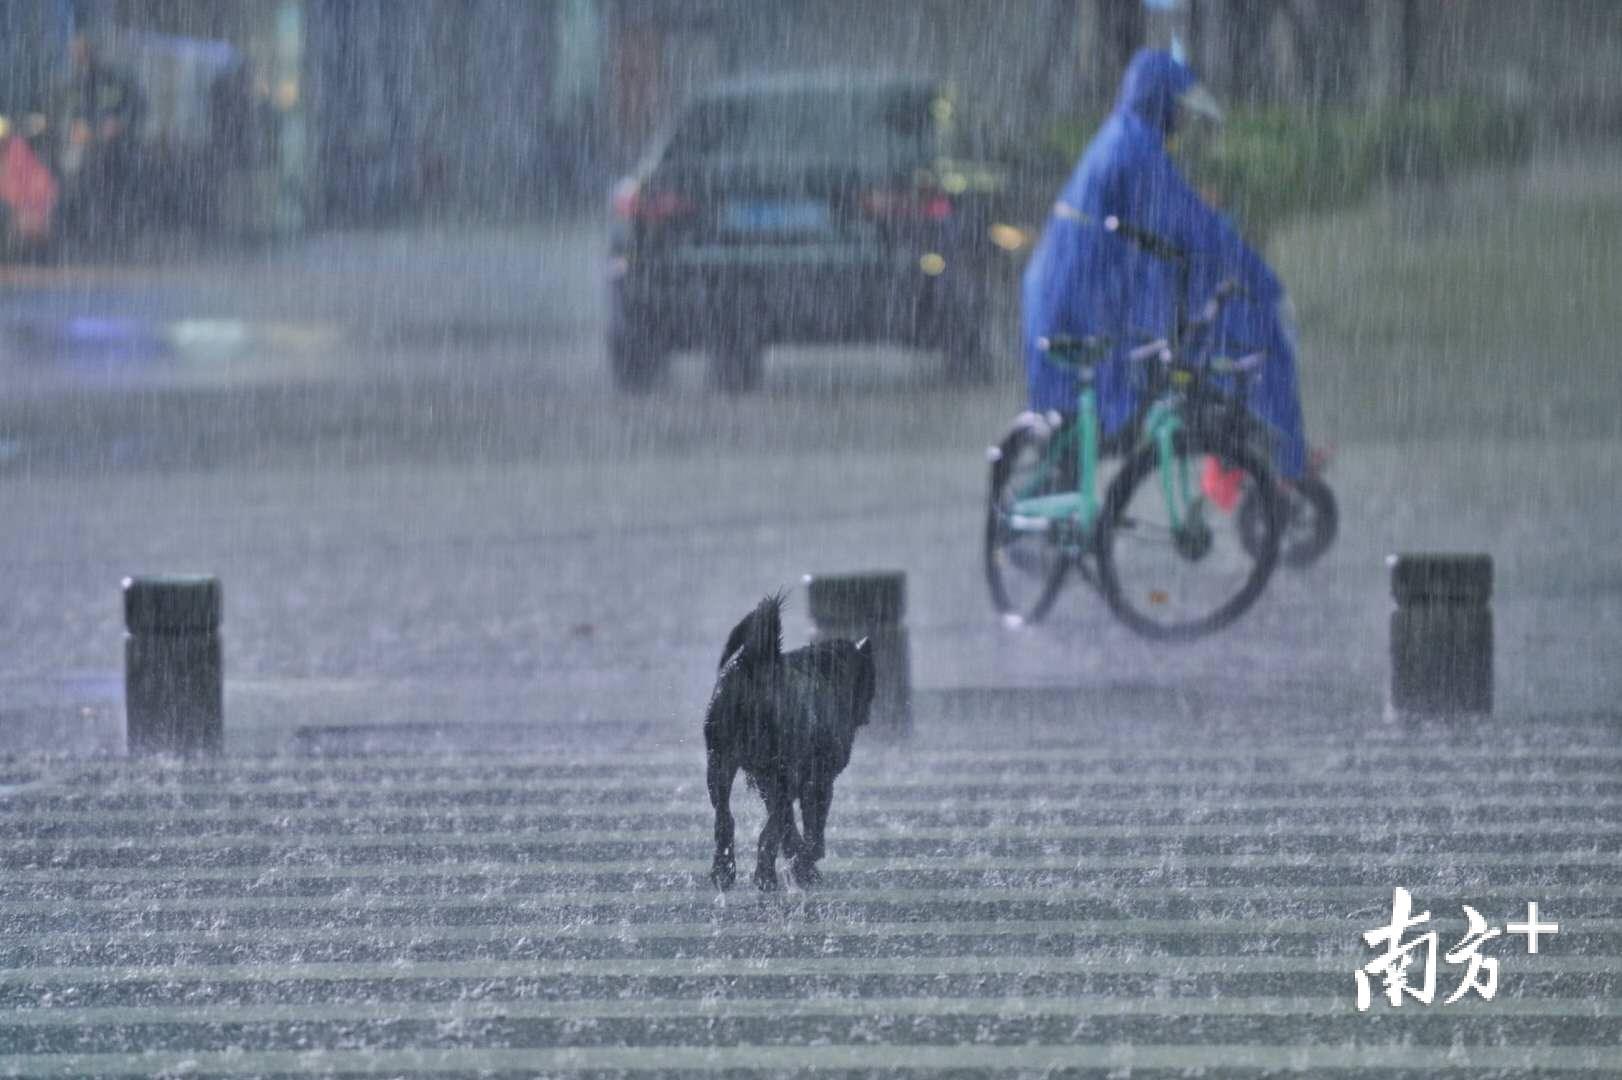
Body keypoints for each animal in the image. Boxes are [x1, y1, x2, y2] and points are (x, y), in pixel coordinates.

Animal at [700, 593, 869, 888]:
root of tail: (755, 663)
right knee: (769, 831)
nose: (867, 714)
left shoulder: (767, 781)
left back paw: (724, 870)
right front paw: (806, 862)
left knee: (725, 818)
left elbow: (790, 827)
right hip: (783, 773)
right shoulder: (819, 779)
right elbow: (811, 828)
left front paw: (801, 865)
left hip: (720, 763)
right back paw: (766, 876)